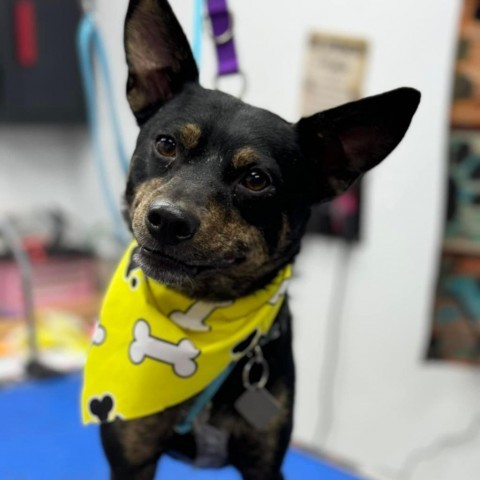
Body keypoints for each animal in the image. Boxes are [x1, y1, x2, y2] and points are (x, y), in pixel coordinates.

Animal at [97, 1, 420, 478]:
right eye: (166, 144)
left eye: (255, 179)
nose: (167, 220)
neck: (200, 317)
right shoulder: (132, 458)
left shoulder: (265, 462)